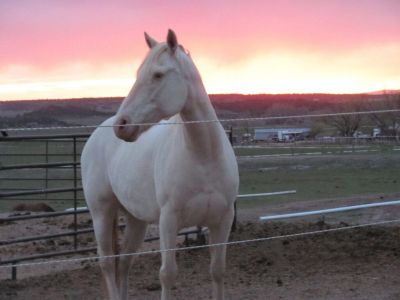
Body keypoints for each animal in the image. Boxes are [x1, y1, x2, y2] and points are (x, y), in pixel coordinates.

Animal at [79, 29, 239, 300]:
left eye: (157, 75)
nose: (122, 125)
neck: (204, 157)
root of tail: (97, 134)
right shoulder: (169, 220)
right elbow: (167, 274)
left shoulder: (223, 219)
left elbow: (218, 270)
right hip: (101, 211)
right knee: (108, 262)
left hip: (135, 220)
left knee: (125, 261)